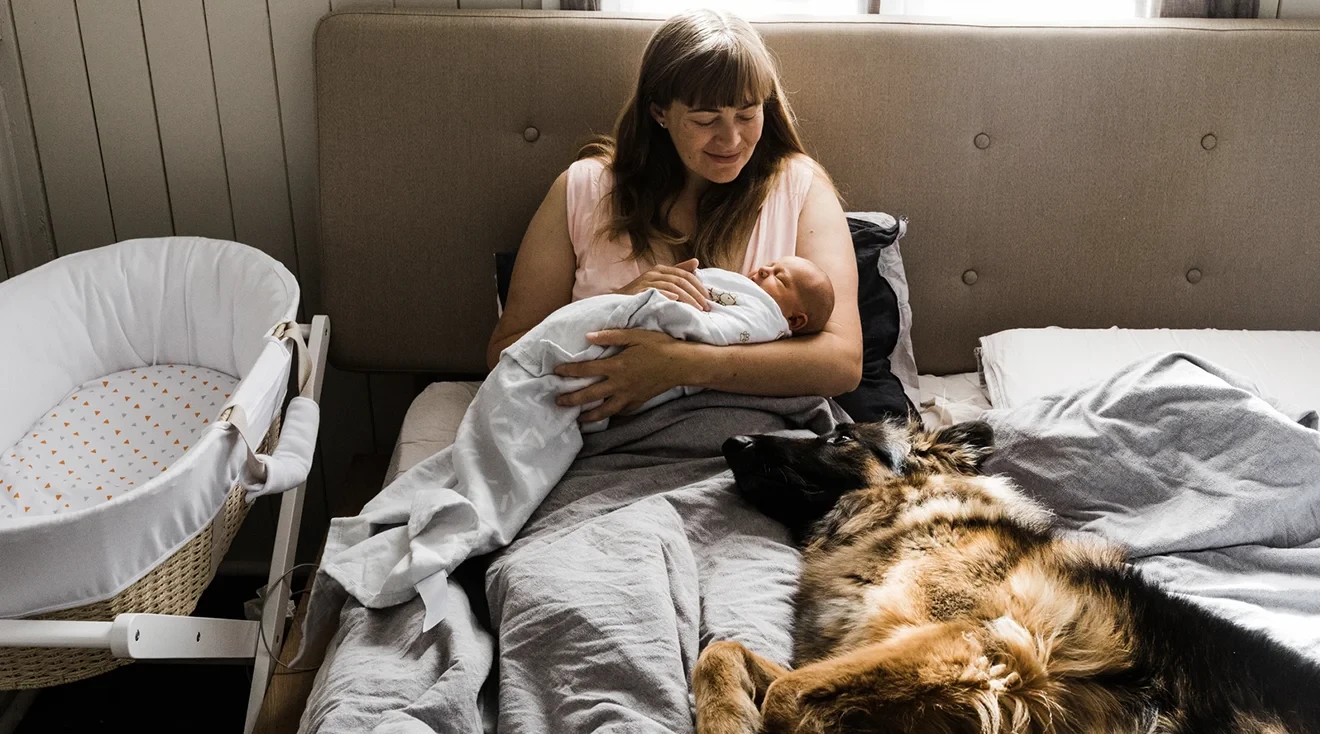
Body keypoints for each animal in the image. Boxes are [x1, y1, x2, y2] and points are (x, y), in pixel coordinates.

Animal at [691, 422, 1320, 728]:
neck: (904, 518)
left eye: (840, 438)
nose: (731, 442)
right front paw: (728, 721)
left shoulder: (977, 642)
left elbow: (786, 696)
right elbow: (720, 652)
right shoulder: (871, 653)